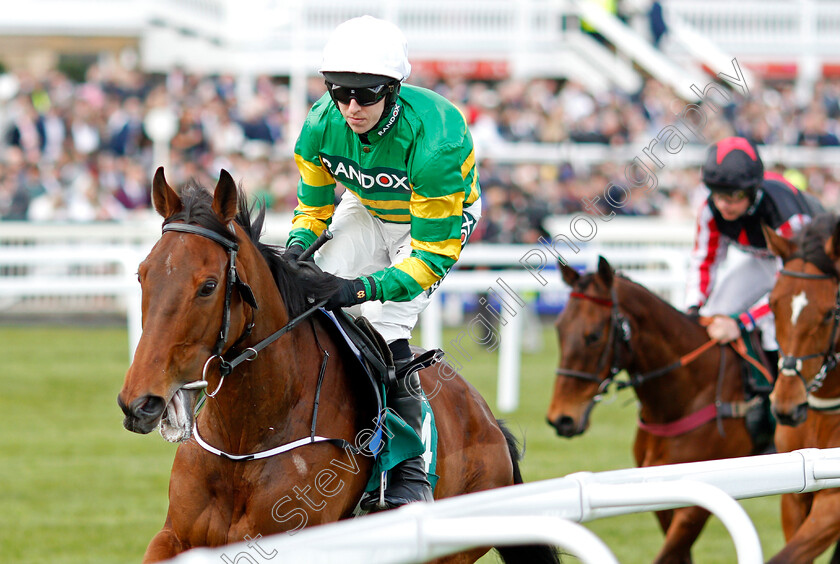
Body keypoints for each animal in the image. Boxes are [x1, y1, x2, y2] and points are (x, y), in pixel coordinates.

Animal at [113, 169, 556, 564]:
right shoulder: (175, 537)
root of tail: (487, 419)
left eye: (207, 286)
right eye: (141, 275)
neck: (246, 440)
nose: (140, 403)